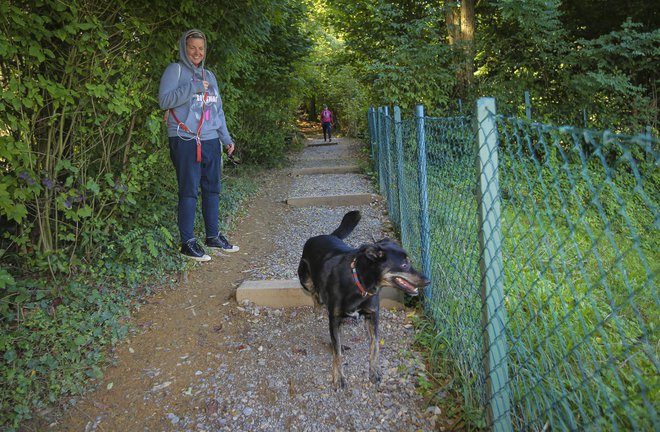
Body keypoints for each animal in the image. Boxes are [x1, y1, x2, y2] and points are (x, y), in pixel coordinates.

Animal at [296, 211, 430, 390]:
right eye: (404, 265)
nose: (428, 281)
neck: (359, 282)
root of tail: (327, 236)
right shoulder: (334, 318)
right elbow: (337, 352)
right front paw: (339, 377)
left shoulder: (373, 315)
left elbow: (375, 345)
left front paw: (374, 371)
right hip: (305, 279)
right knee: (315, 292)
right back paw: (318, 308)